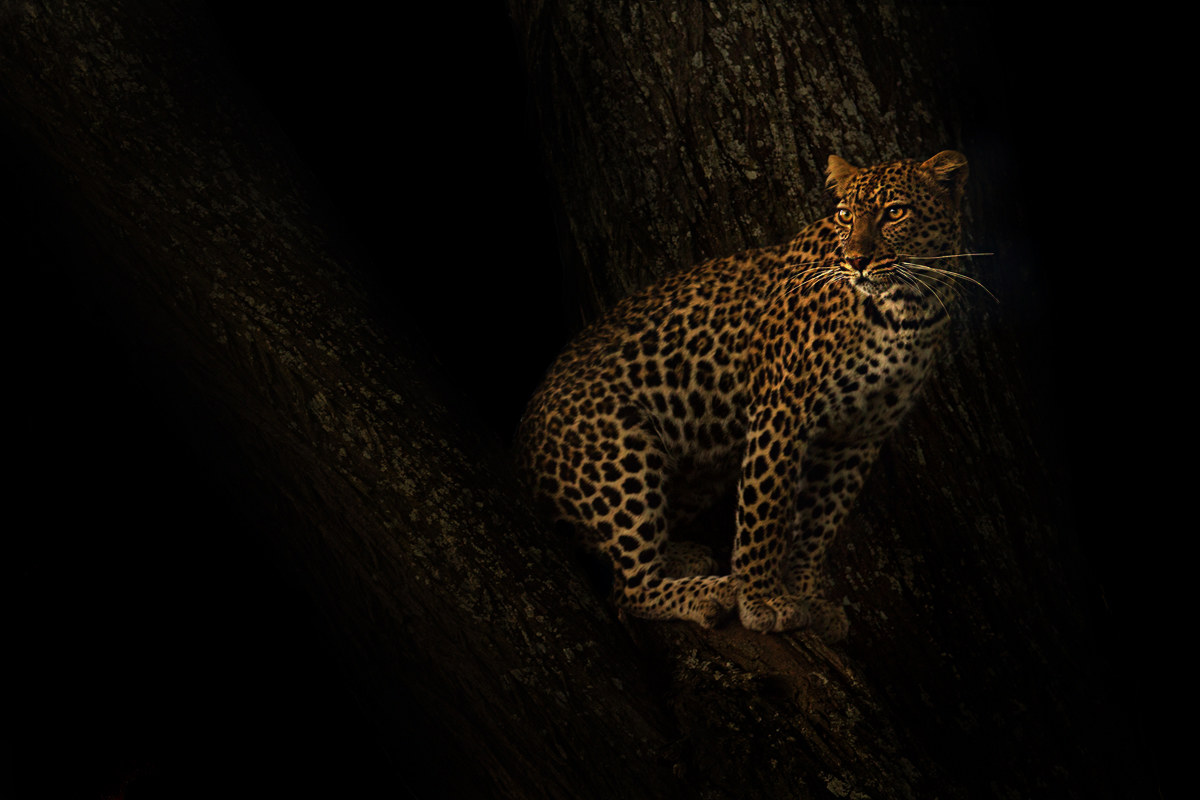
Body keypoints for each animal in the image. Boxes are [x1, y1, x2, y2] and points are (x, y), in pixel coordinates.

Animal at [514, 151, 971, 640]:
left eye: (895, 212)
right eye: (845, 216)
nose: (857, 260)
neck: (910, 307)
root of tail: (521, 444)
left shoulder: (858, 436)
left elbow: (820, 522)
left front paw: (808, 596)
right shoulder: (783, 408)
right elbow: (764, 513)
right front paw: (761, 600)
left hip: (700, 469)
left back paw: (683, 556)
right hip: (621, 450)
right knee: (628, 589)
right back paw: (709, 591)